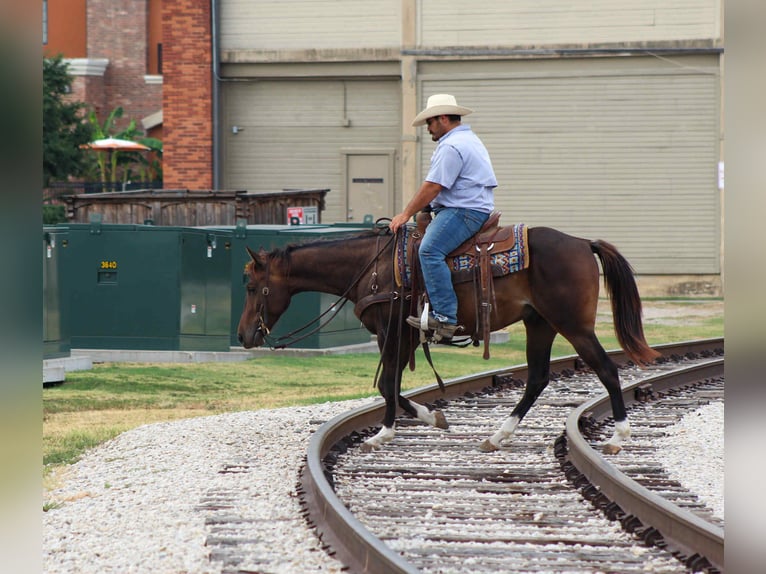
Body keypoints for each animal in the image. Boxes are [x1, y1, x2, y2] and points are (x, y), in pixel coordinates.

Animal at [237, 223, 660, 454]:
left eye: (254, 287)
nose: (243, 335)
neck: (371, 267)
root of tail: (582, 243)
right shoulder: (405, 336)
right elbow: (391, 385)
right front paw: (432, 417)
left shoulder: (393, 332)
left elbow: (387, 384)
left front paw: (384, 434)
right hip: (540, 324)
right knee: (538, 378)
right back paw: (497, 436)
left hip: (573, 325)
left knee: (606, 369)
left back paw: (619, 437)